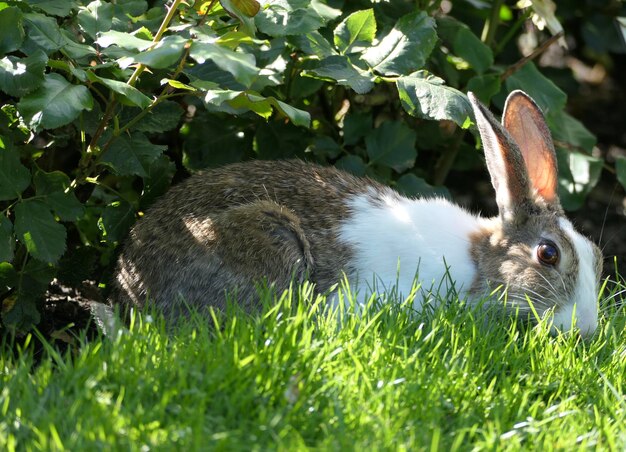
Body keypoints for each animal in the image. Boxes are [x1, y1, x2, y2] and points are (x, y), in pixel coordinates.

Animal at [109, 89, 604, 336]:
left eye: (598, 256)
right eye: (548, 254)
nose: (586, 329)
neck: (478, 264)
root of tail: (127, 284)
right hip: (271, 237)